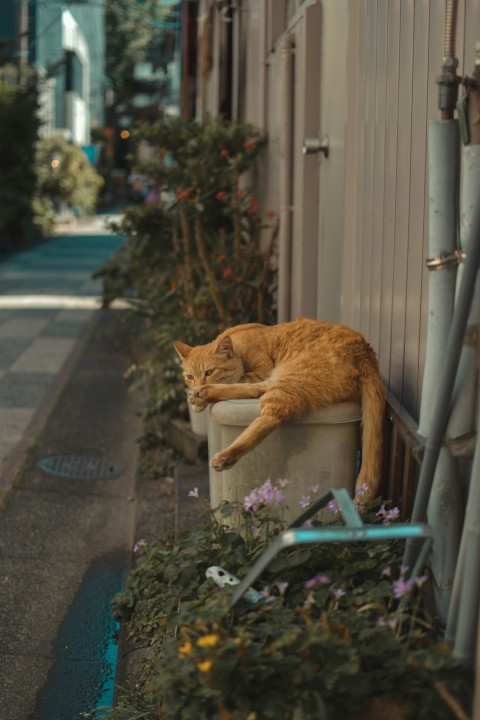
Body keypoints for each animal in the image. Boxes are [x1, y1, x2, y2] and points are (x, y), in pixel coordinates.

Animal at [174, 320, 384, 500]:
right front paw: (196, 396)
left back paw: (226, 454)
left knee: (270, 416)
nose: (196, 385)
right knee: (256, 391)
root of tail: (365, 351)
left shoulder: (262, 370)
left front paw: (197, 399)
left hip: (289, 378)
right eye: (190, 376)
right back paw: (206, 393)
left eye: (210, 372)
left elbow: (238, 380)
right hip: (283, 377)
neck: (238, 345)